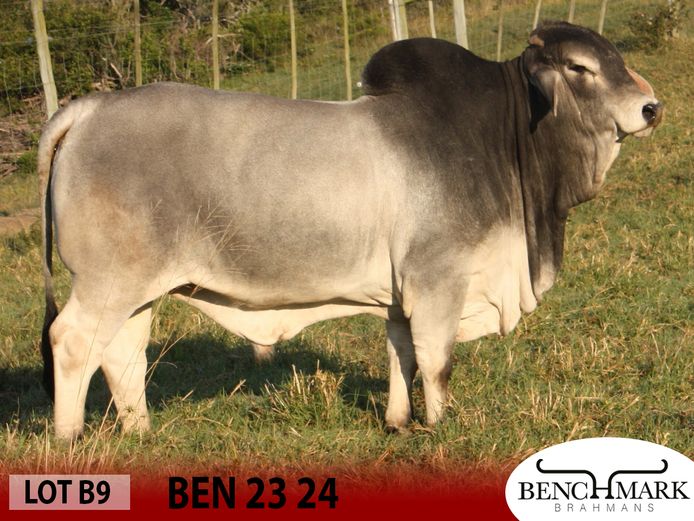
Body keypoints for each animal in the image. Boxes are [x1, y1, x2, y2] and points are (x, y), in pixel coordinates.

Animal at [38, 22, 662, 439]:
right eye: (580, 68)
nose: (651, 108)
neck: (503, 139)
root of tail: (90, 109)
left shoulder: (402, 295)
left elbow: (401, 355)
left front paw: (398, 421)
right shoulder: (439, 279)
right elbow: (436, 360)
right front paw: (440, 425)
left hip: (137, 289)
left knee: (122, 352)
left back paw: (140, 432)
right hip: (106, 282)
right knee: (72, 342)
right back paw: (68, 438)